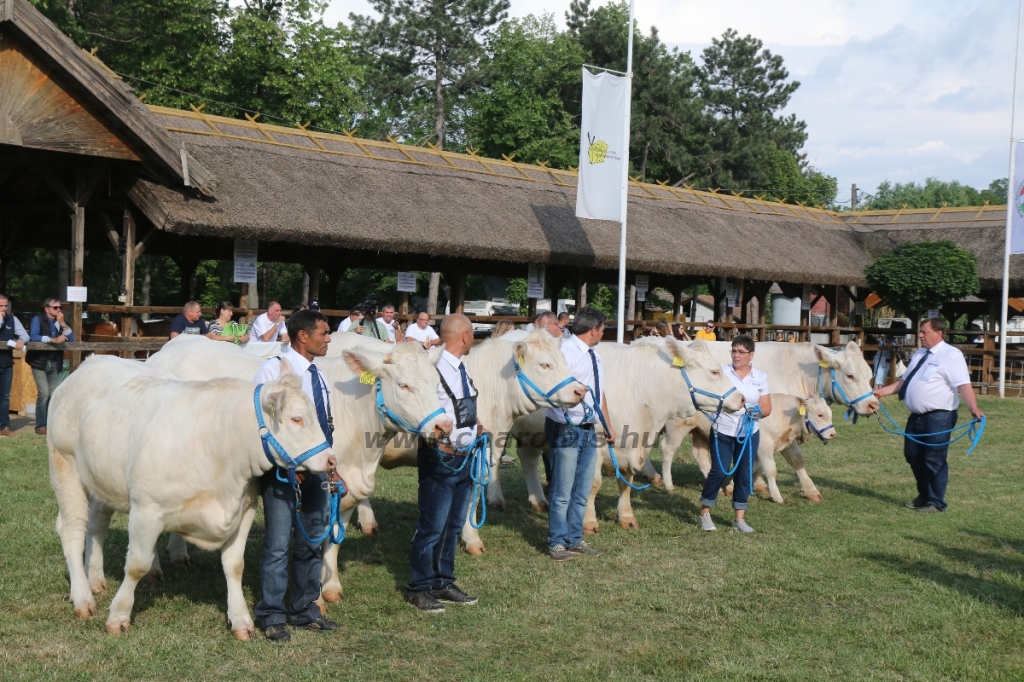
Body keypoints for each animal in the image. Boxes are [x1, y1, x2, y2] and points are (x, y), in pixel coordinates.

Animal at [49, 352, 333, 634]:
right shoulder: (146, 509)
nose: (330, 460)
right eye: (297, 419)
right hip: (65, 465)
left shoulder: (244, 509)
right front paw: (118, 616)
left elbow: (234, 565)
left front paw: (241, 619)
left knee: (97, 523)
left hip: (101, 478)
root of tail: (93, 359)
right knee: (72, 528)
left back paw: (96, 578)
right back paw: (83, 597)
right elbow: (136, 565)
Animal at [145, 333, 452, 602]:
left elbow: (334, 541)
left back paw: (179, 553)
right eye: (403, 385)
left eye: (436, 382)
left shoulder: (346, 486)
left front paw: (331, 586)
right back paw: (153, 569)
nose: (444, 425)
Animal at [643, 337, 876, 499]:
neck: (797, 372)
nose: (873, 405)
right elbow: (786, 459)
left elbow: (794, 459)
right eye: (850, 375)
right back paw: (660, 478)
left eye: (870, 375)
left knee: (698, 454)